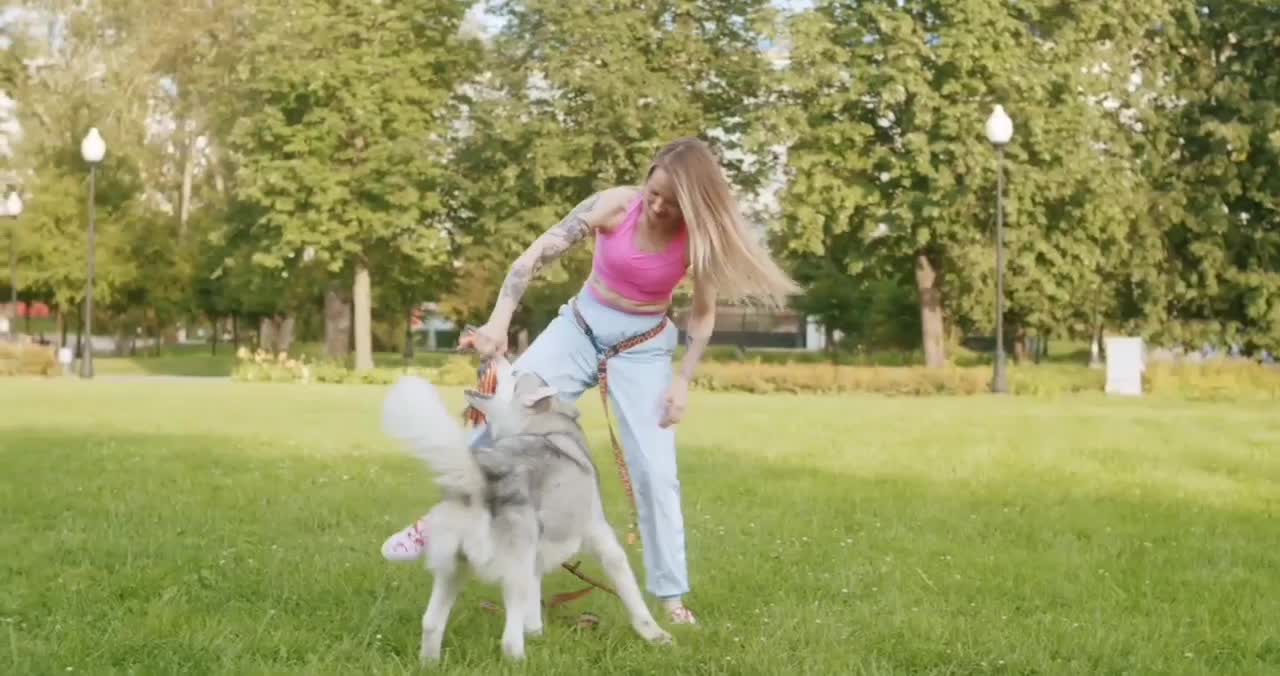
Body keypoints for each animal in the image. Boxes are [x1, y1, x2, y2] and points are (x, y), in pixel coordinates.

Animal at [376, 361, 670, 660]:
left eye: (515, 375)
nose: (500, 362)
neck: (548, 426)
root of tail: (480, 478)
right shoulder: (603, 541)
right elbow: (632, 594)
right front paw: (656, 635)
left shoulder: (536, 560)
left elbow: (534, 602)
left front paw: (536, 632)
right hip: (513, 567)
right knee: (508, 640)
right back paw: (520, 660)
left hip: (454, 568)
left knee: (431, 623)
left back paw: (431, 662)